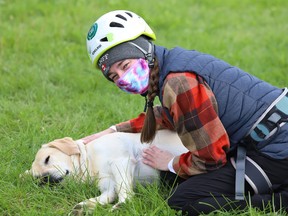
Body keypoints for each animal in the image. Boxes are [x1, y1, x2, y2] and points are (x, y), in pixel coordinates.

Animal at [24, 129, 187, 213]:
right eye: (38, 179)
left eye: (47, 159)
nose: (46, 179)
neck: (90, 164)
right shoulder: (108, 186)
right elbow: (104, 197)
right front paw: (82, 207)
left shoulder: (121, 161)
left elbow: (123, 190)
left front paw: (124, 204)